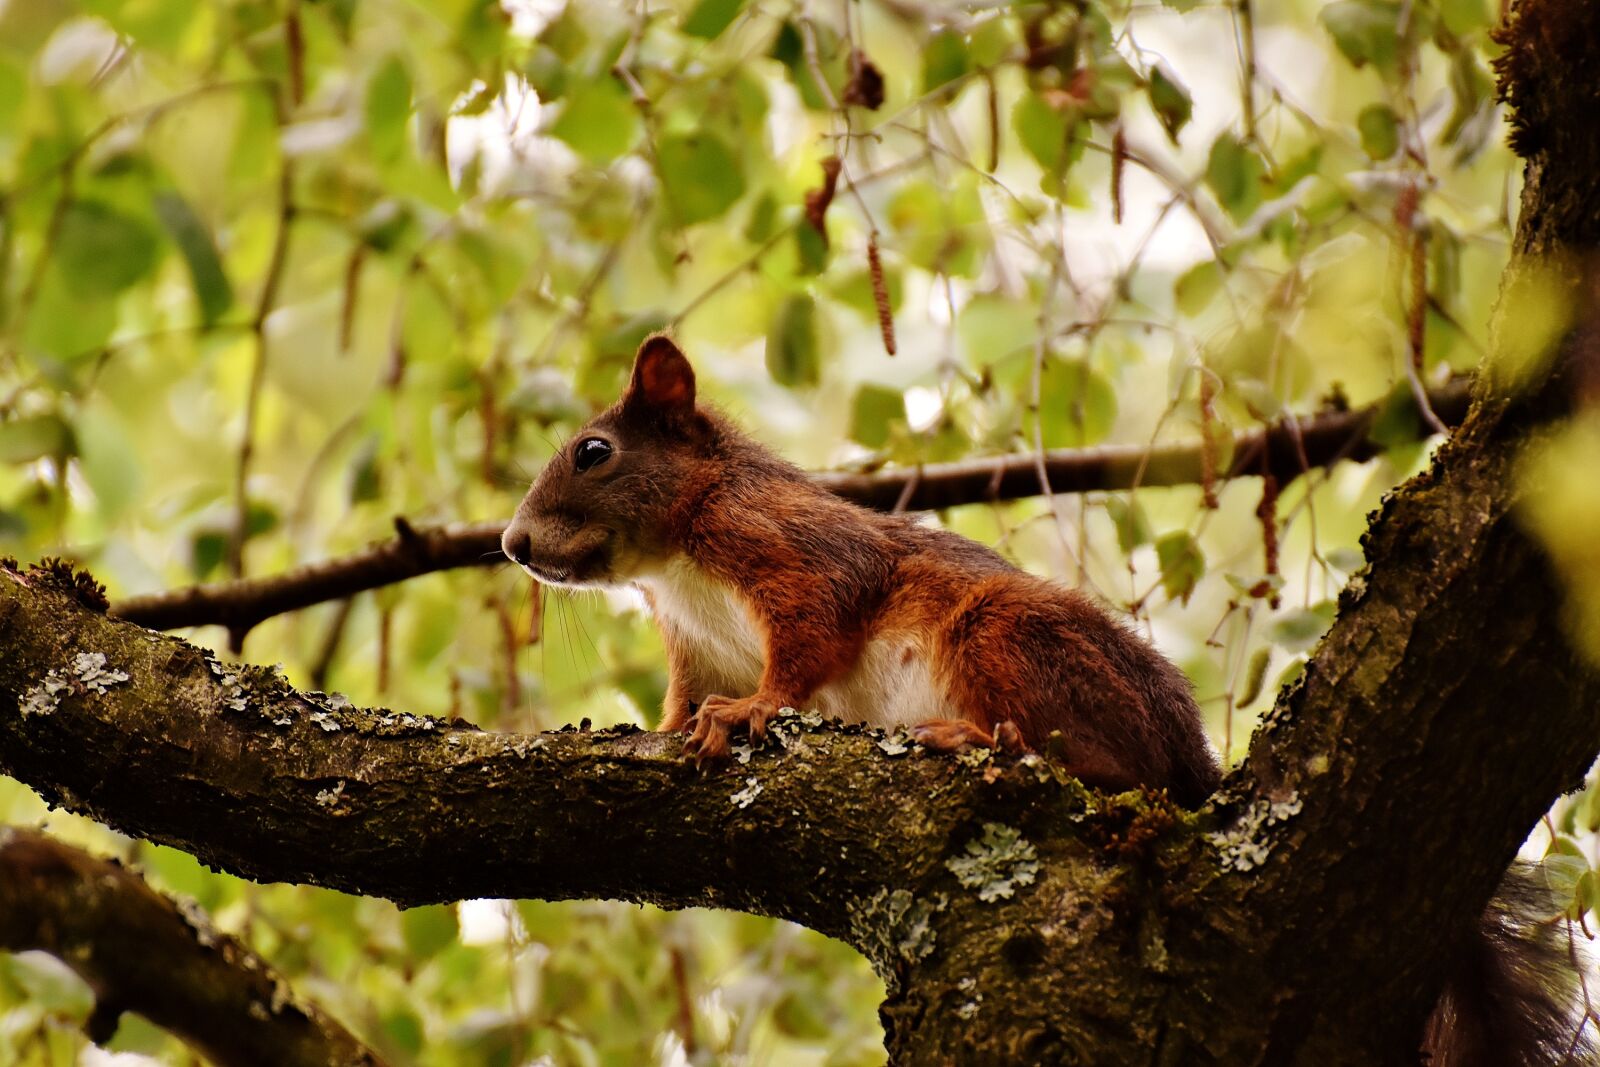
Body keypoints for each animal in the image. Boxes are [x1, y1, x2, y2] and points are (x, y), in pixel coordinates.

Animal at [502, 335, 1221, 807]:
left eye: (593, 452)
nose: (513, 543)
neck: (672, 568)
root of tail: (1195, 756)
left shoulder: (791, 545)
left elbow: (814, 632)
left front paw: (752, 707)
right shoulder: (699, 650)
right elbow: (683, 707)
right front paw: (672, 729)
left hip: (1009, 631)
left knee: (1118, 771)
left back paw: (975, 737)